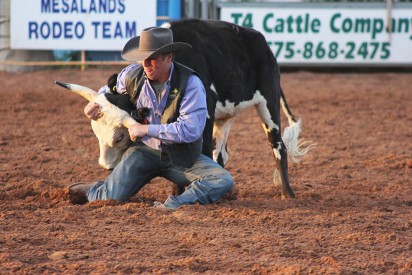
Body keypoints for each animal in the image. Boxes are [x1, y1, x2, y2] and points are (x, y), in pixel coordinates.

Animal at [54, 20, 312, 201]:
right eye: (95, 133)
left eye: (119, 137)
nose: (105, 166)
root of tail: (262, 43)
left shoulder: (204, 114)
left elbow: (198, 150)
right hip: (226, 117)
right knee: (222, 154)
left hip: (268, 103)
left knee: (278, 146)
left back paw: (288, 194)